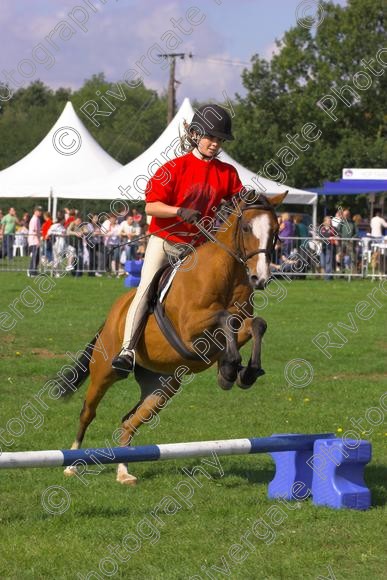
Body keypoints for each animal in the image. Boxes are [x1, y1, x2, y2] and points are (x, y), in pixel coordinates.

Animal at [59, 193, 286, 482]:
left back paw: (123, 472)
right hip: (104, 371)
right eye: (246, 228)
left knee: (129, 420)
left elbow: (256, 324)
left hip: (161, 387)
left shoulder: (238, 324)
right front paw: (230, 369)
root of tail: (113, 316)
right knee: (88, 412)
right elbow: (226, 319)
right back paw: (72, 464)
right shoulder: (190, 329)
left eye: (276, 231)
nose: (261, 278)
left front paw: (244, 372)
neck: (225, 273)